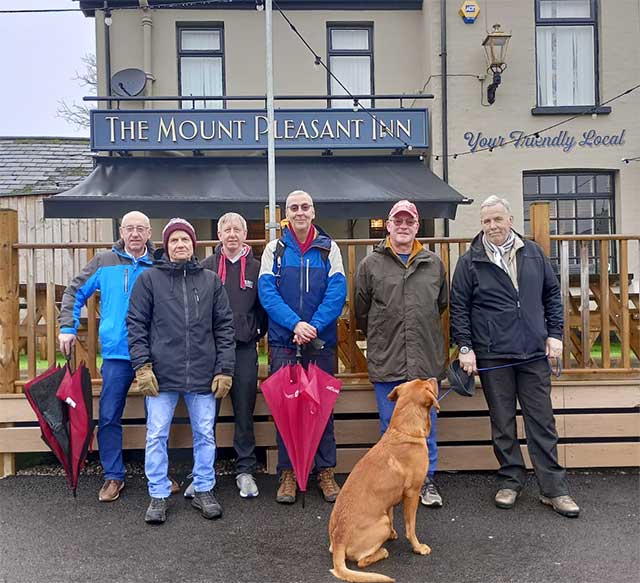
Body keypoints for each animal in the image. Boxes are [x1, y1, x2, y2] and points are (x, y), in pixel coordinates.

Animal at [330, 378, 440, 583]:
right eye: (426, 383)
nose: (435, 378)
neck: (403, 431)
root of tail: (338, 541)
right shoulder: (412, 493)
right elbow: (410, 527)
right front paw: (418, 547)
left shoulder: (389, 502)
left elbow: (392, 513)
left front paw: (393, 535)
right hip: (381, 524)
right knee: (361, 561)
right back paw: (382, 552)